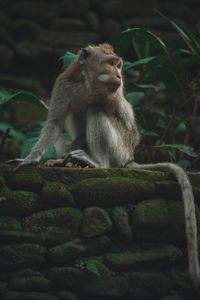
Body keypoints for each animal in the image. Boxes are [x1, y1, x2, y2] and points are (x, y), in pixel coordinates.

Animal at [7, 42, 199, 286]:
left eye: (118, 64)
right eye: (111, 63)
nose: (119, 74)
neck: (89, 84)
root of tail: (129, 158)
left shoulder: (116, 94)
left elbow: (129, 126)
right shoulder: (63, 84)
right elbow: (55, 124)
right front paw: (32, 158)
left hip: (120, 150)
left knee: (96, 112)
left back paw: (97, 164)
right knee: (66, 134)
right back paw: (71, 162)